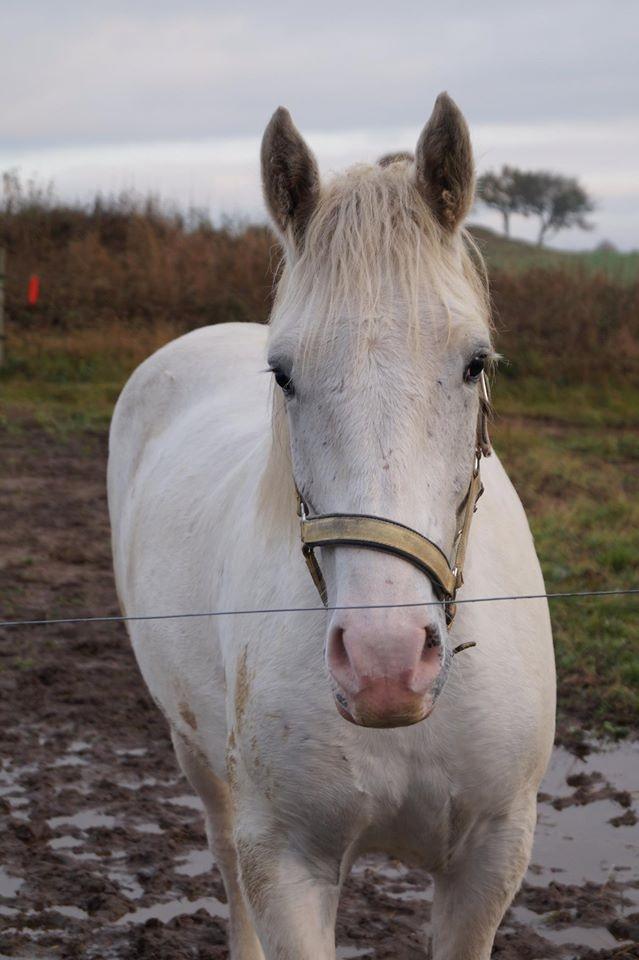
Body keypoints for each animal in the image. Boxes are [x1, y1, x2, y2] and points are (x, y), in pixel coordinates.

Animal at [109, 95, 556, 960]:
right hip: (200, 757)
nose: (385, 663)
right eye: (283, 375)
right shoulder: (287, 863)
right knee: (223, 858)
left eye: (475, 363)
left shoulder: (490, 859)